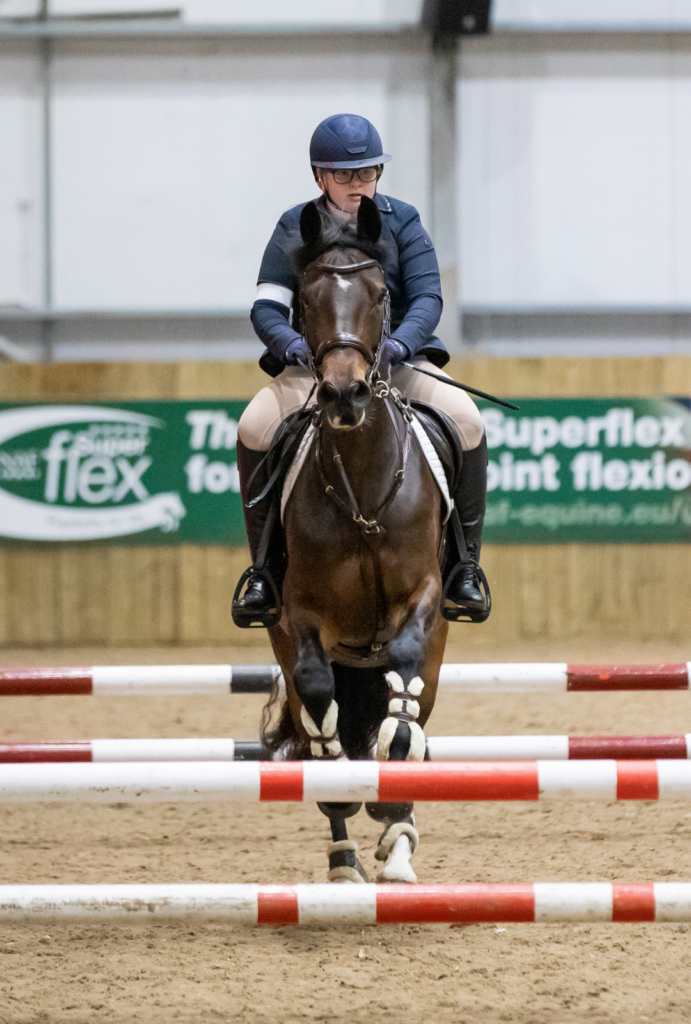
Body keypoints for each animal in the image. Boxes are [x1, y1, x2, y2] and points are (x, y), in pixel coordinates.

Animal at [260, 195, 448, 884]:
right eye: (307, 297)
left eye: (378, 294)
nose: (344, 393)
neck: (364, 488)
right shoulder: (299, 615)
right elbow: (319, 698)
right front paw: (342, 783)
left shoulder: (424, 594)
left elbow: (404, 682)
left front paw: (394, 775)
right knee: (319, 719)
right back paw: (344, 859)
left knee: (412, 710)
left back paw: (398, 841)